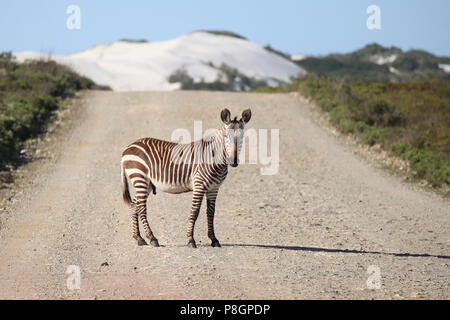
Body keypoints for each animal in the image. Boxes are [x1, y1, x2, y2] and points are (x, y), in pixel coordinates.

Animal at [121, 109, 251, 249]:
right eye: (226, 136)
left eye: (242, 137)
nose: (233, 161)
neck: (214, 158)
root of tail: (128, 147)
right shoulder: (199, 185)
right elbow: (195, 212)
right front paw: (190, 240)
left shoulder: (214, 188)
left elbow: (211, 213)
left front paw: (214, 239)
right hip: (140, 177)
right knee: (141, 208)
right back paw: (152, 238)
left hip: (147, 183)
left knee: (134, 205)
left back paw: (138, 238)